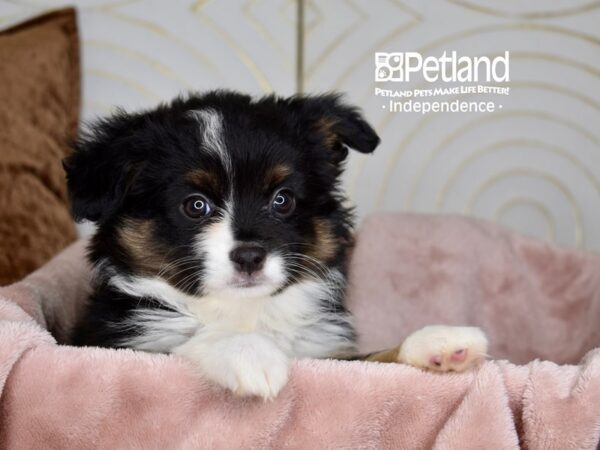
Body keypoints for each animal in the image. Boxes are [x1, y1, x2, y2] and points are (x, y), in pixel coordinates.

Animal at [65, 90, 488, 398]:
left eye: (282, 200)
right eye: (195, 205)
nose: (250, 256)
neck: (246, 311)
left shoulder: (328, 356)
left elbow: (370, 360)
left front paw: (437, 344)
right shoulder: (117, 347)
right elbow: (183, 340)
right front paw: (249, 353)